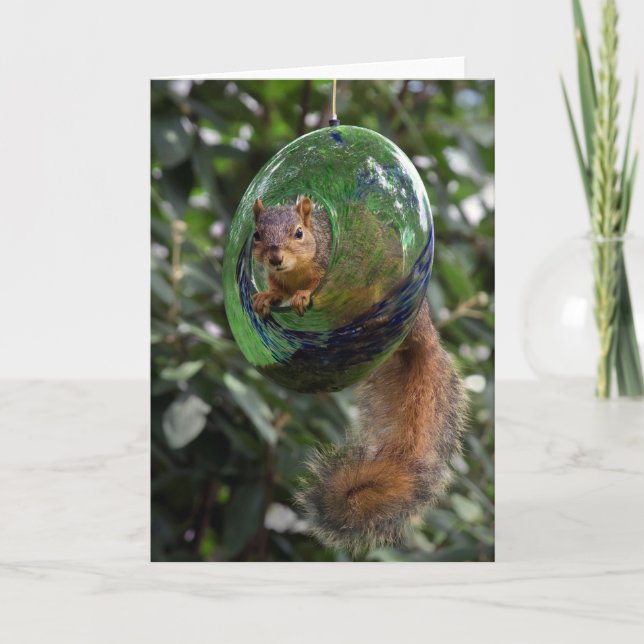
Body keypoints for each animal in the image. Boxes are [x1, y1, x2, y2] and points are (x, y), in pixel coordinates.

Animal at [251, 196, 467, 553]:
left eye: (298, 233)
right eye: (256, 235)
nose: (275, 258)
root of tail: (423, 333)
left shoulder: (326, 269)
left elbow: (313, 286)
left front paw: (302, 295)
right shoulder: (278, 278)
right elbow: (276, 290)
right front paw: (265, 297)